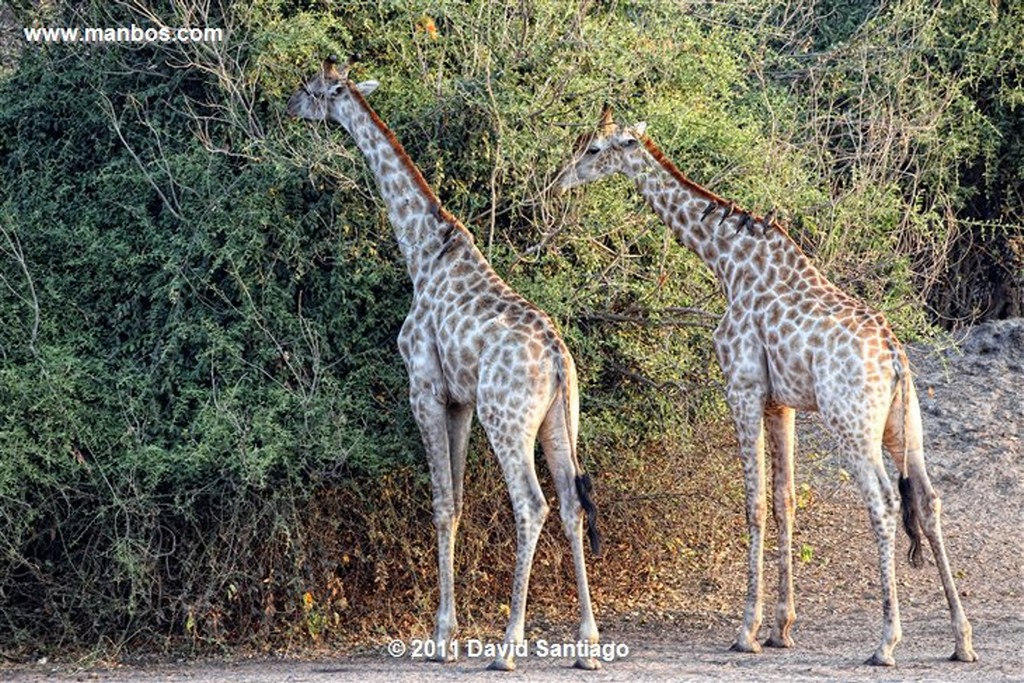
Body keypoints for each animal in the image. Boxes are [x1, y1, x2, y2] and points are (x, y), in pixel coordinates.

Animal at [284, 58, 598, 671]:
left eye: (312, 88)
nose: (289, 105)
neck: (422, 253)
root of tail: (556, 360)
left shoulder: (425, 389)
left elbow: (440, 503)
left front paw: (441, 639)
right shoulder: (459, 402)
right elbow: (454, 505)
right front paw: (448, 636)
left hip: (508, 419)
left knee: (532, 506)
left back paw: (508, 646)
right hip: (560, 420)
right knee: (572, 504)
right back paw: (588, 645)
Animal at [552, 107, 974, 667]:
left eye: (594, 149)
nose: (559, 181)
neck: (727, 261)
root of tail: (895, 359)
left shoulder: (743, 385)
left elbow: (752, 503)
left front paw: (746, 631)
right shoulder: (782, 403)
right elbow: (784, 500)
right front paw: (781, 627)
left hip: (851, 424)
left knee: (884, 502)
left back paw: (886, 641)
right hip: (902, 425)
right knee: (927, 500)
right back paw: (962, 639)